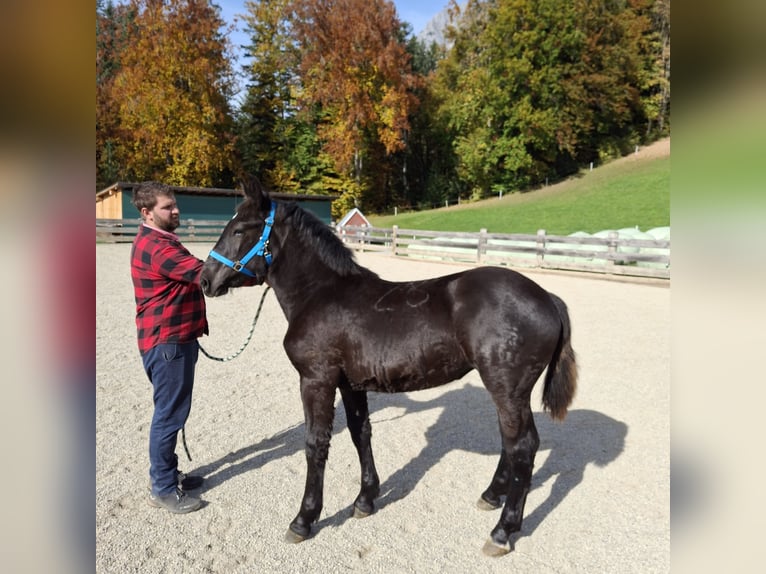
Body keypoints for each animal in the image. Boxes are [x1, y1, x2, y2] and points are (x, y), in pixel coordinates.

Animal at [200, 176, 578, 556]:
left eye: (239, 229)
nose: (205, 280)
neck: (321, 294)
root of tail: (547, 298)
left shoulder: (316, 380)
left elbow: (315, 443)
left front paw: (304, 519)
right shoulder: (350, 383)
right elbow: (360, 433)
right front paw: (365, 500)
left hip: (508, 389)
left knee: (522, 447)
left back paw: (502, 530)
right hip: (507, 392)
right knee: (511, 441)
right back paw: (490, 496)